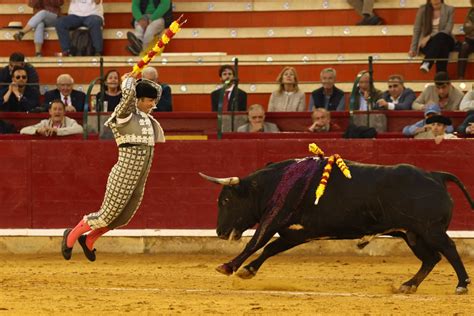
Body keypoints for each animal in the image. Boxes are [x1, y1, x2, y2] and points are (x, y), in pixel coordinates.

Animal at [201, 157, 474, 294]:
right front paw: (247, 271)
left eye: (226, 200)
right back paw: (409, 285)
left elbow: (255, 243)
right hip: (412, 234)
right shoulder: (297, 233)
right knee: (431, 258)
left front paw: (228, 267)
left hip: (431, 230)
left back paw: (461, 284)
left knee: (449, 249)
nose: (219, 232)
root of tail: (436, 175)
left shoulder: (274, 221)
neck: (275, 183)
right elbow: (269, 249)